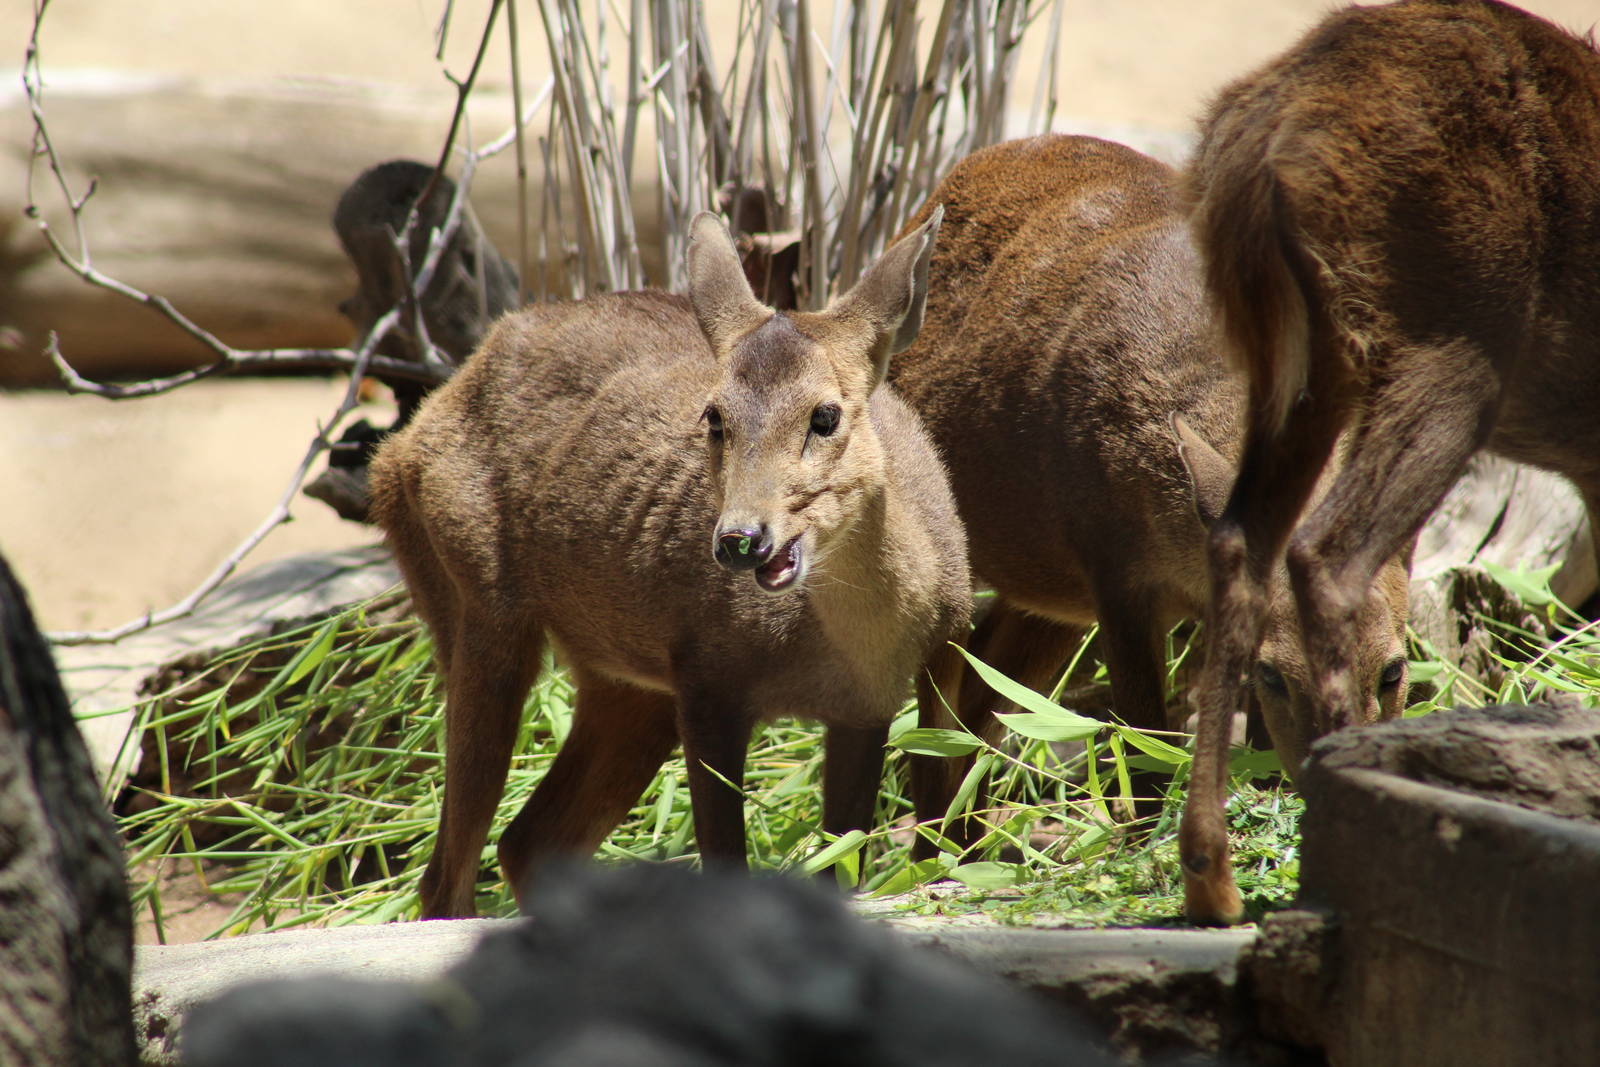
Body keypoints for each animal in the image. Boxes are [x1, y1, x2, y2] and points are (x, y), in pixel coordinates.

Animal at [367, 209, 971, 918]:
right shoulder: (710, 679)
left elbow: (884, 849)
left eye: (826, 415)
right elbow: (727, 865)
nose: (740, 538)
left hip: (628, 681)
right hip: (478, 600)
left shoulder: (899, 688)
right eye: (713, 417)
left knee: (526, 841)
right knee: (448, 871)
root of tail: (397, 449)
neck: (863, 645)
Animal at [884, 134, 1411, 911]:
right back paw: (931, 856)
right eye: (1272, 674)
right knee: (938, 696)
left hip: (1049, 590)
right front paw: (1150, 853)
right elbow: (1142, 733)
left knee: (989, 690)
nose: (1323, 781)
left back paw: (975, 844)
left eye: (1395, 668)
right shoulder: (1116, 574)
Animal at [1180, 0, 1600, 923]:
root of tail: (1263, 135)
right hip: (1451, 336)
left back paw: (1214, 880)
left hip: (1295, 364)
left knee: (1237, 545)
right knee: (1329, 553)